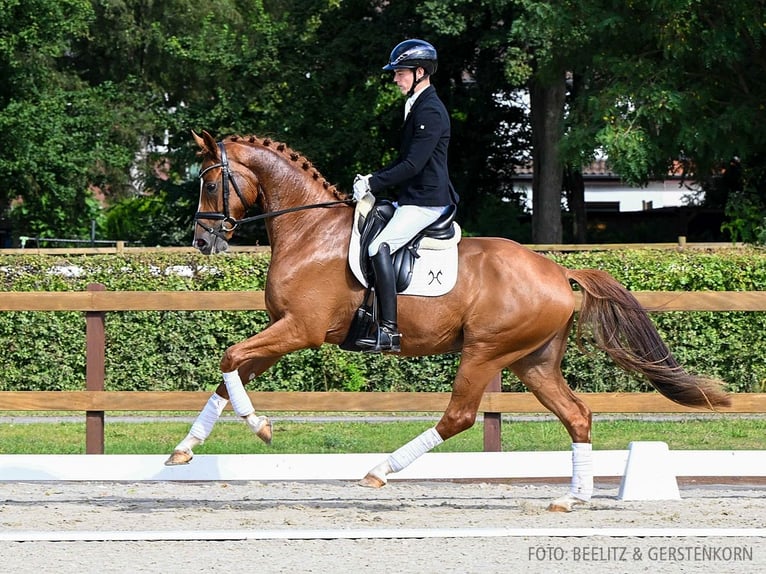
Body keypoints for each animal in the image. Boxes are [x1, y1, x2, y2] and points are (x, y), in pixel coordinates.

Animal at [168, 130, 732, 512]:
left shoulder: (299, 330)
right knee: (576, 415)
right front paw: (184, 450)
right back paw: (572, 499)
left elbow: (230, 358)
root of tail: (557, 270)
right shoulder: (283, 331)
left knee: (459, 416)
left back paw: (379, 471)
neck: (309, 231)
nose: (201, 241)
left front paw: (260, 427)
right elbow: (229, 374)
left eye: (210, 182)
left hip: (485, 351)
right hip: (532, 361)